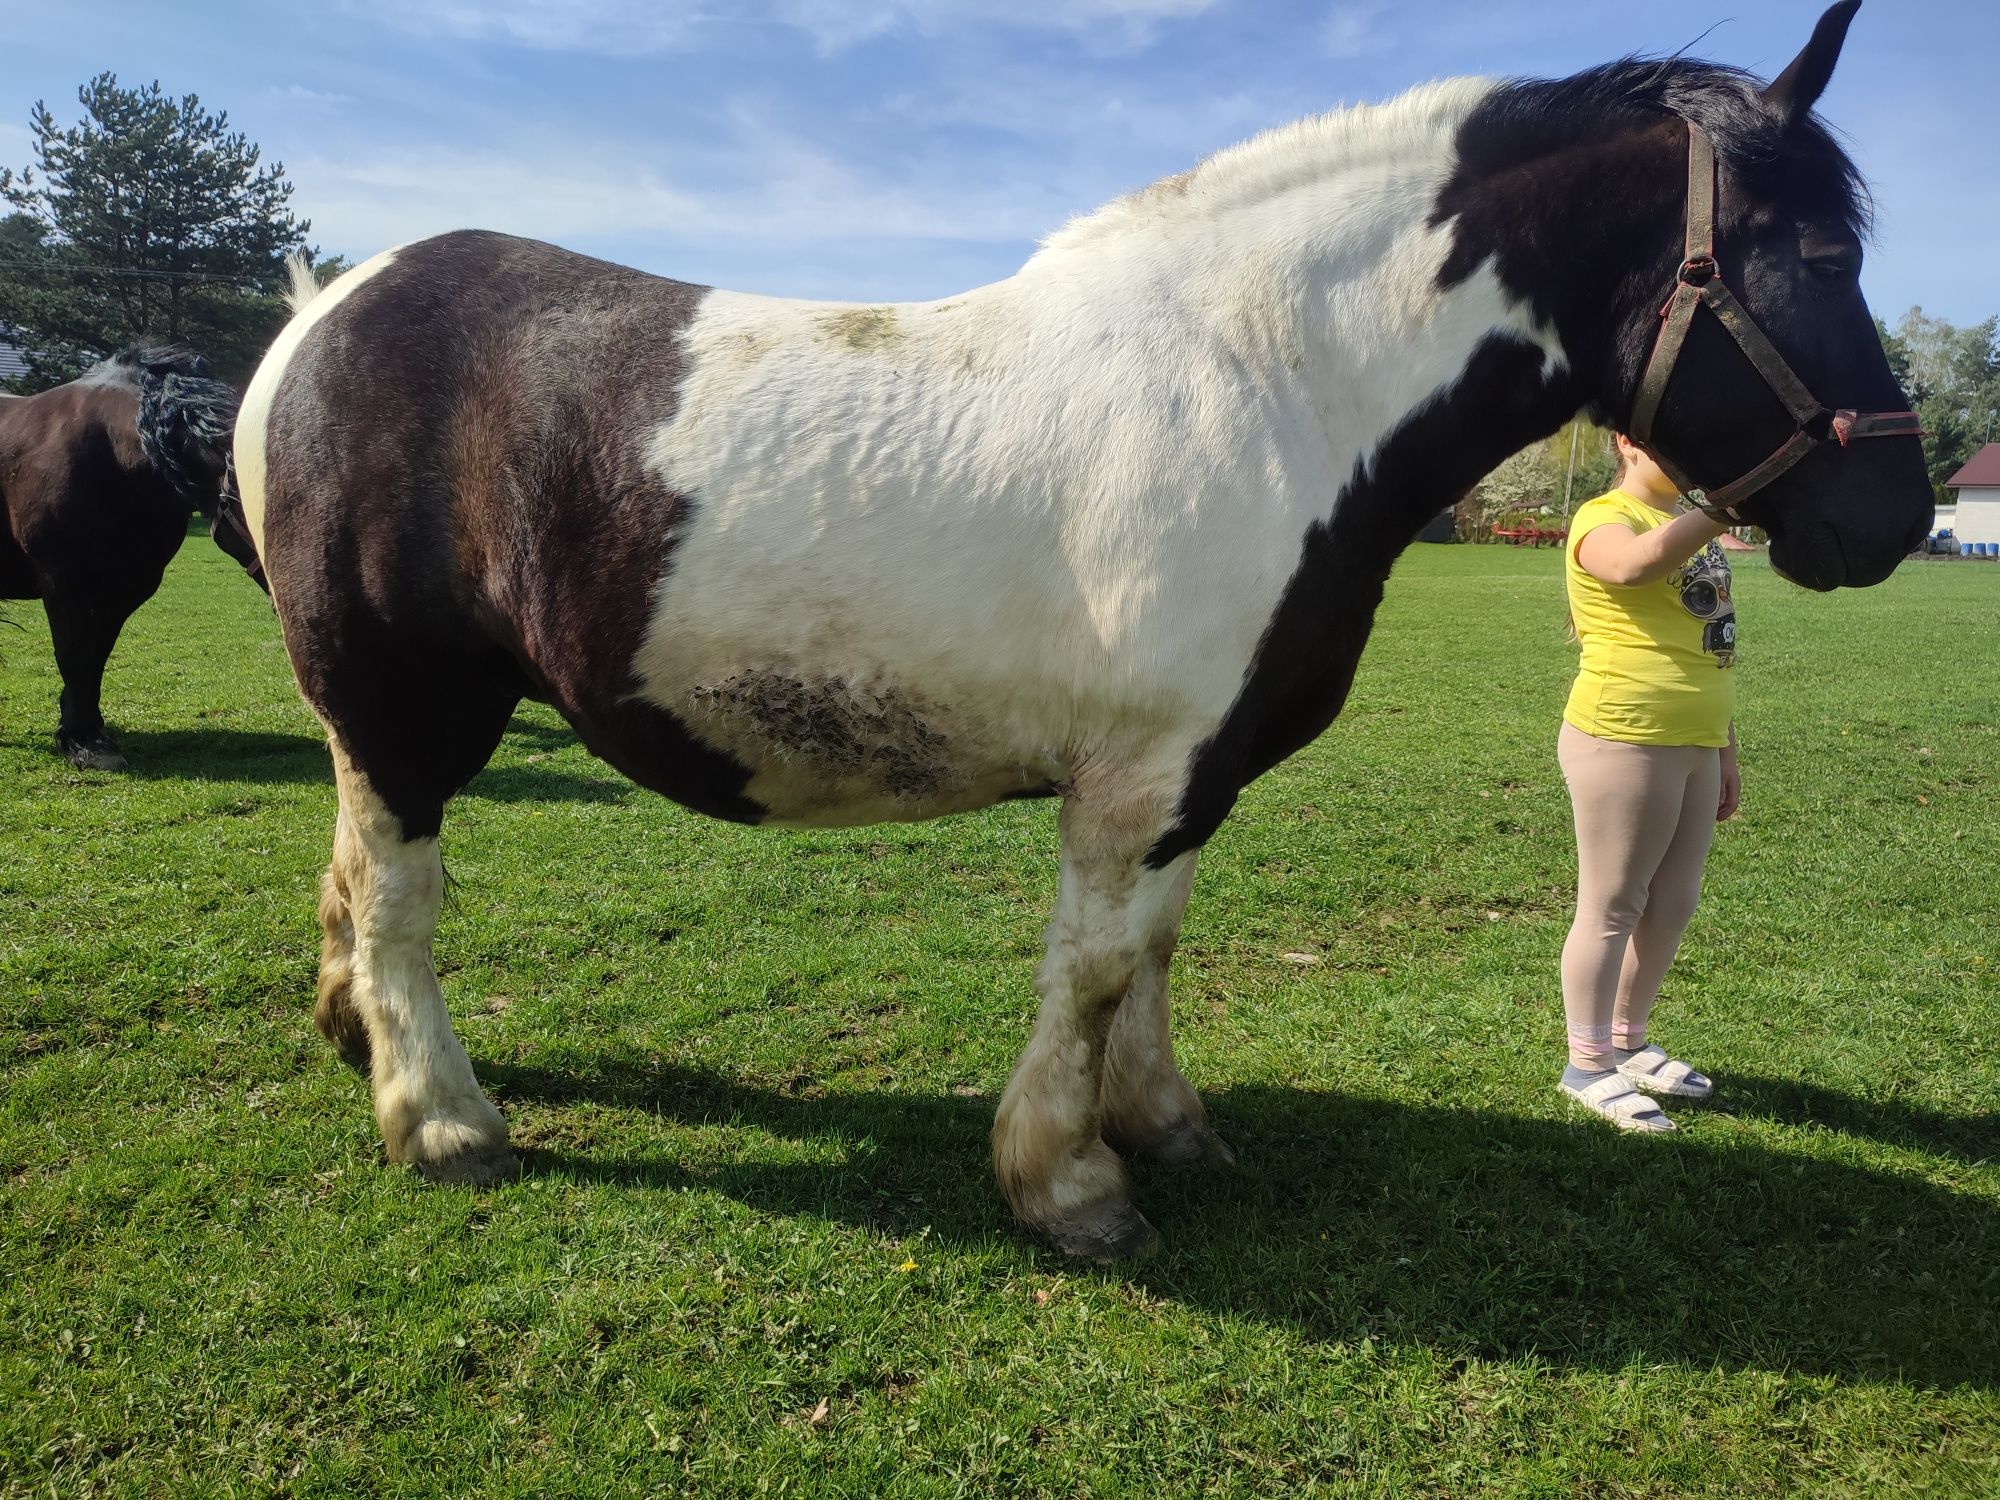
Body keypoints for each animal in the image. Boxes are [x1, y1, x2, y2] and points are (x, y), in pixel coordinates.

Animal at [0, 352, 258, 768]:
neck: (112, 458)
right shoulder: (61, 579)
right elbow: (73, 653)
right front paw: (83, 741)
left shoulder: (126, 586)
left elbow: (96, 656)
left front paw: (85, 728)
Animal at [238, 5, 1936, 1264]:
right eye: (1823, 258)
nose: (1898, 519)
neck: (1270, 383)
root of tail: (325, 314)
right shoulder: (1136, 778)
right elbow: (1103, 964)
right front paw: (1069, 1184)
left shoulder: (1194, 771)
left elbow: (1160, 951)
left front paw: (1163, 1126)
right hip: (406, 709)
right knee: (401, 901)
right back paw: (441, 1121)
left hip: (370, 721)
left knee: (352, 877)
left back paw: (350, 1041)